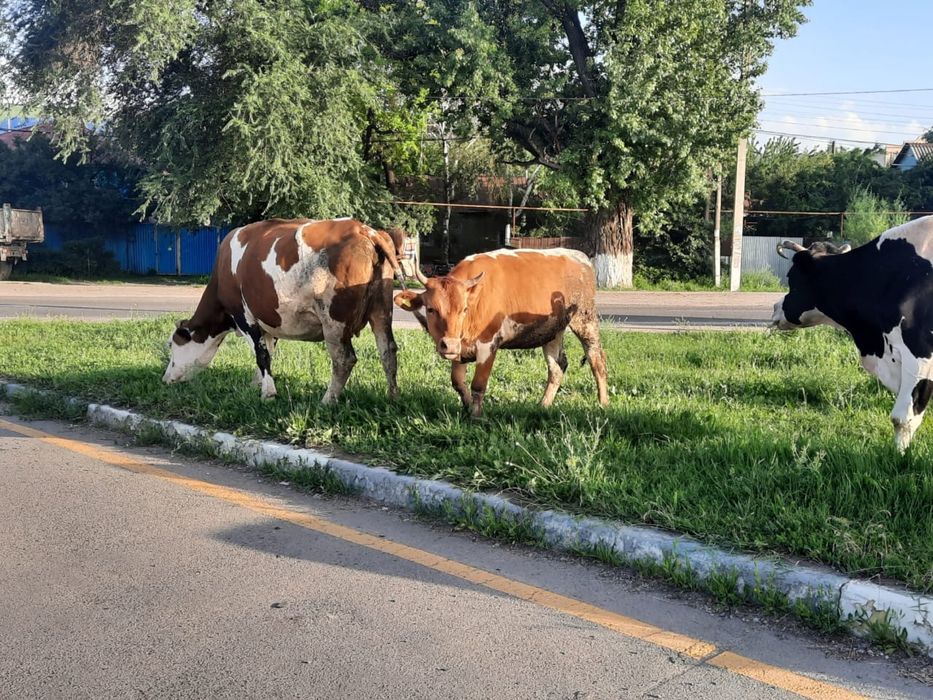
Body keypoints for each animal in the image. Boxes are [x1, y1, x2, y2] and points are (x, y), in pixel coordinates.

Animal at [163, 218, 405, 403]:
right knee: (388, 351)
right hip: (381, 310)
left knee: (344, 359)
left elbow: (261, 356)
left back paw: (327, 400)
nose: (165, 378)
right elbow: (268, 352)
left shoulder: (245, 317)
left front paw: (268, 393)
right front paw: (257, 384)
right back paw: (393, 397)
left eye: (173, 345)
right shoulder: (269, 320)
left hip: (334, 320)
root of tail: (364, 230)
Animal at [393, 248, 609, 417]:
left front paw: (476, 416)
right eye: (430, 309)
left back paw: (603, 403)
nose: (449, 344)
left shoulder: (488, 343)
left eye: (464, 309)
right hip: (552, 331)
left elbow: (478, 385)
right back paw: (543, 405)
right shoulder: (460, 349)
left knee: (597, 360)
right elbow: (457, 382)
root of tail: (578, 255)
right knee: (557, 367)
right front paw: (467, 407)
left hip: (585, 319)